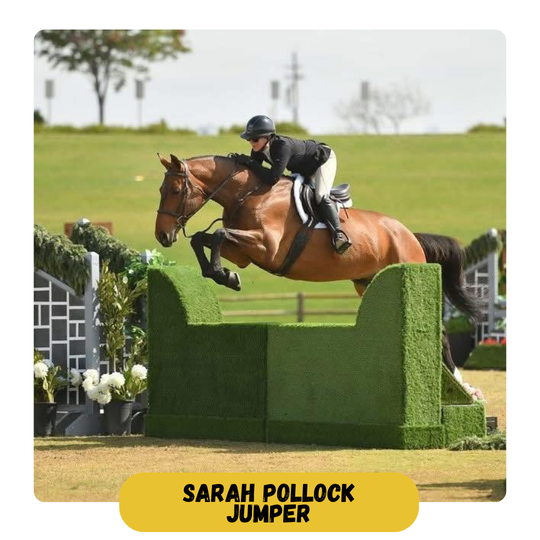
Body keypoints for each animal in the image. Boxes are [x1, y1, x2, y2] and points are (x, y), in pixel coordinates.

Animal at [155, 153, 480, 380]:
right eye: (161, 189)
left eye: (175, 190)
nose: (162, 236)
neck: (249, 193)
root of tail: (410, 235)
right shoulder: (244, 252)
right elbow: (204, 238)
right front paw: (224, 275)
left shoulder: (266, 247)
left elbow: (219, 234)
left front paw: (225, 275)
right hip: (367, 282)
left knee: (440, 332)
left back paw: (461, 385)